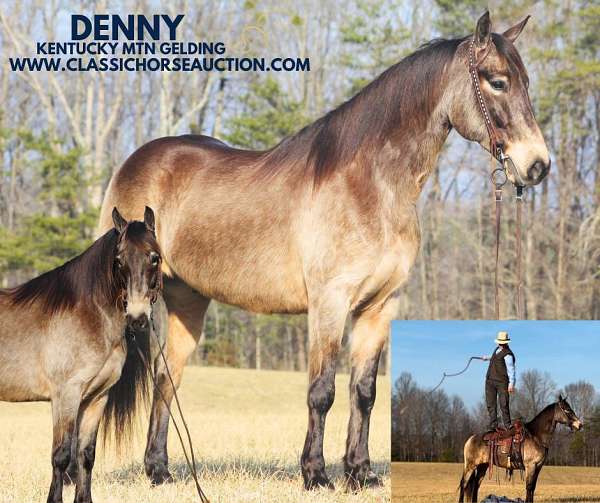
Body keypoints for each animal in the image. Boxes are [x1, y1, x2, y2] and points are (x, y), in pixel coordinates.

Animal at [0, 208, 165, 503]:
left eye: (154, 257)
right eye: (119, 260)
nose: (136, 317)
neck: (87, 313)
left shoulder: (96, 397)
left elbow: (86, 455)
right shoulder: (66, 395)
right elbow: (61, 455)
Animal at [99, 11, 552, 490]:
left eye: (525, 81)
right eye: (497, 81)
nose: (537, 165)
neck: (370, 186)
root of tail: (135, 162)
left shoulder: (379, 307)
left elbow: (364, 393)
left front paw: (360, 473)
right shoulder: (329, 303)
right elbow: (322, 391)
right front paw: (315, 474)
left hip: (187, 301)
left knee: (165, 379)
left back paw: (159, 470)